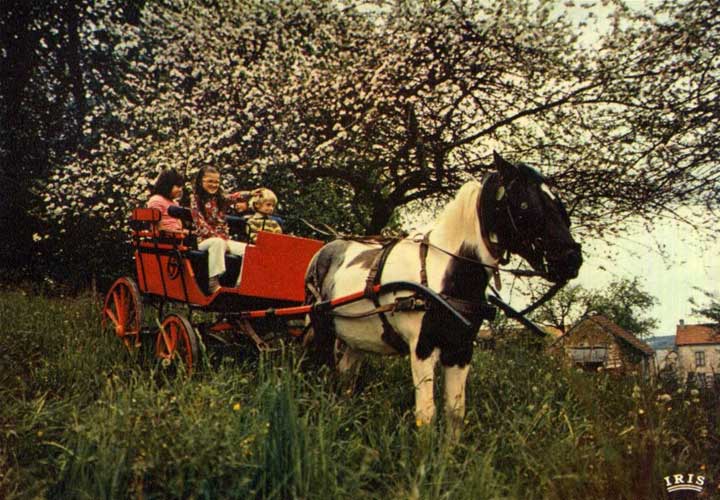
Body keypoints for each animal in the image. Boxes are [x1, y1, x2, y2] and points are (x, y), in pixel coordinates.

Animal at [304, 151, 582, 432]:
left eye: (558, 203)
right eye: (525, 205)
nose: (572, 259)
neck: (443, 274)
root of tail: (323, 250)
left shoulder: (461, 350)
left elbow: (455, 412)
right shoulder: (422, 348)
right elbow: (426, 415)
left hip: (356, 340)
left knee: (345, 378)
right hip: (321, 329)